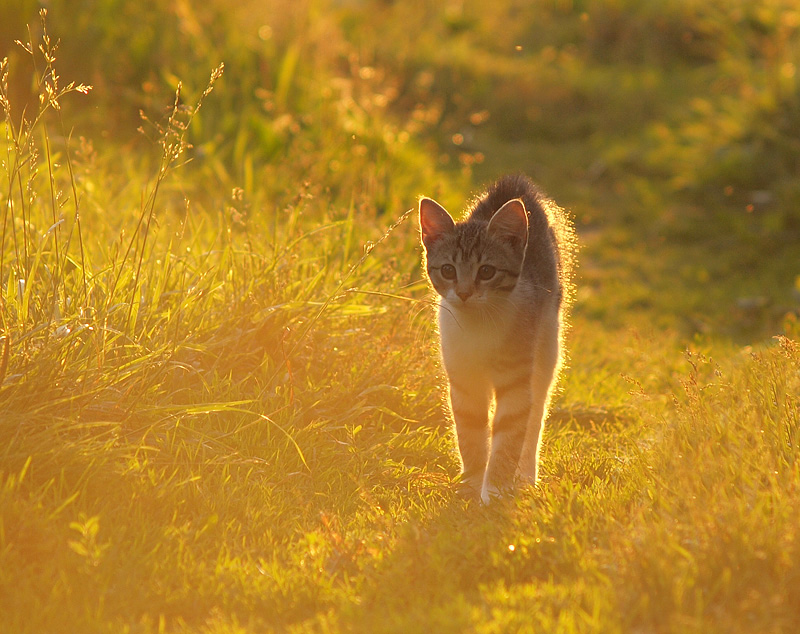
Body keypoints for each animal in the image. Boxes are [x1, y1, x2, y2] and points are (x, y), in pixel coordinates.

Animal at [418, 173, 576, 498]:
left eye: (487, 271)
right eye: (448, 270)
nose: (464, 293)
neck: (478, 325)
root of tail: (515, 184)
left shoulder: (516, 380)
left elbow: (509, 432)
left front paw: (495, 489)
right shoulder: (463, 380)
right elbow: (471, 431)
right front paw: (474, 481)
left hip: (546, 348)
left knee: (536, 416)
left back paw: (527, 475)